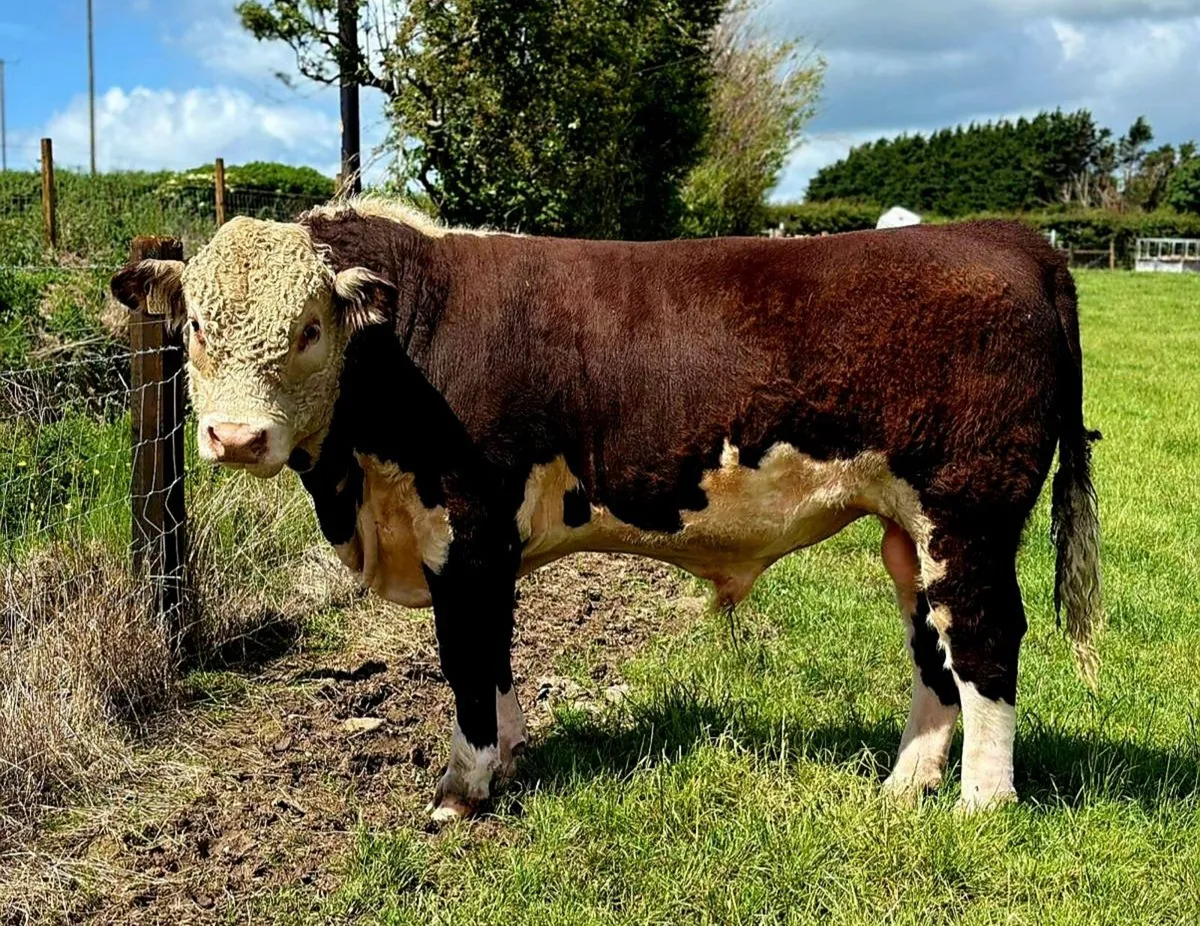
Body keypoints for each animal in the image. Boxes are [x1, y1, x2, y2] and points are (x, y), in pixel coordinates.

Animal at [112, 202, 1101, 821]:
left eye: (309, 329)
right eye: (194, 326)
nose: (235, 437)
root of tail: (1010, 239)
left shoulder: (466, 530)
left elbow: (465, 659)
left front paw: (462, 787)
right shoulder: (487, 546)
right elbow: (496, 657)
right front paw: (510, 758)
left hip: (967, 512)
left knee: (984, 635)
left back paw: (981, 800)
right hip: (910, 527)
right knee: (932, 639)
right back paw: (907, 784)